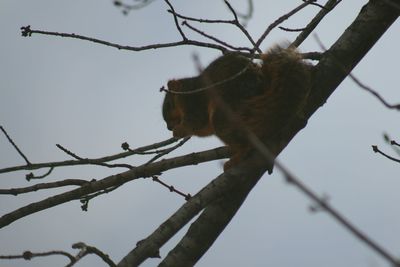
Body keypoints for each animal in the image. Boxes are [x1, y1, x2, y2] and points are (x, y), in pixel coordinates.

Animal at [161, 46, 310, 171]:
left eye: (168, 104)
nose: (168, 127)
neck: (187, 90)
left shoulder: (194, 101)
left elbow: (195, 121)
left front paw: (178, 130)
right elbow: (204, 129)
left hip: (226, 109)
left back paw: (237, 157)